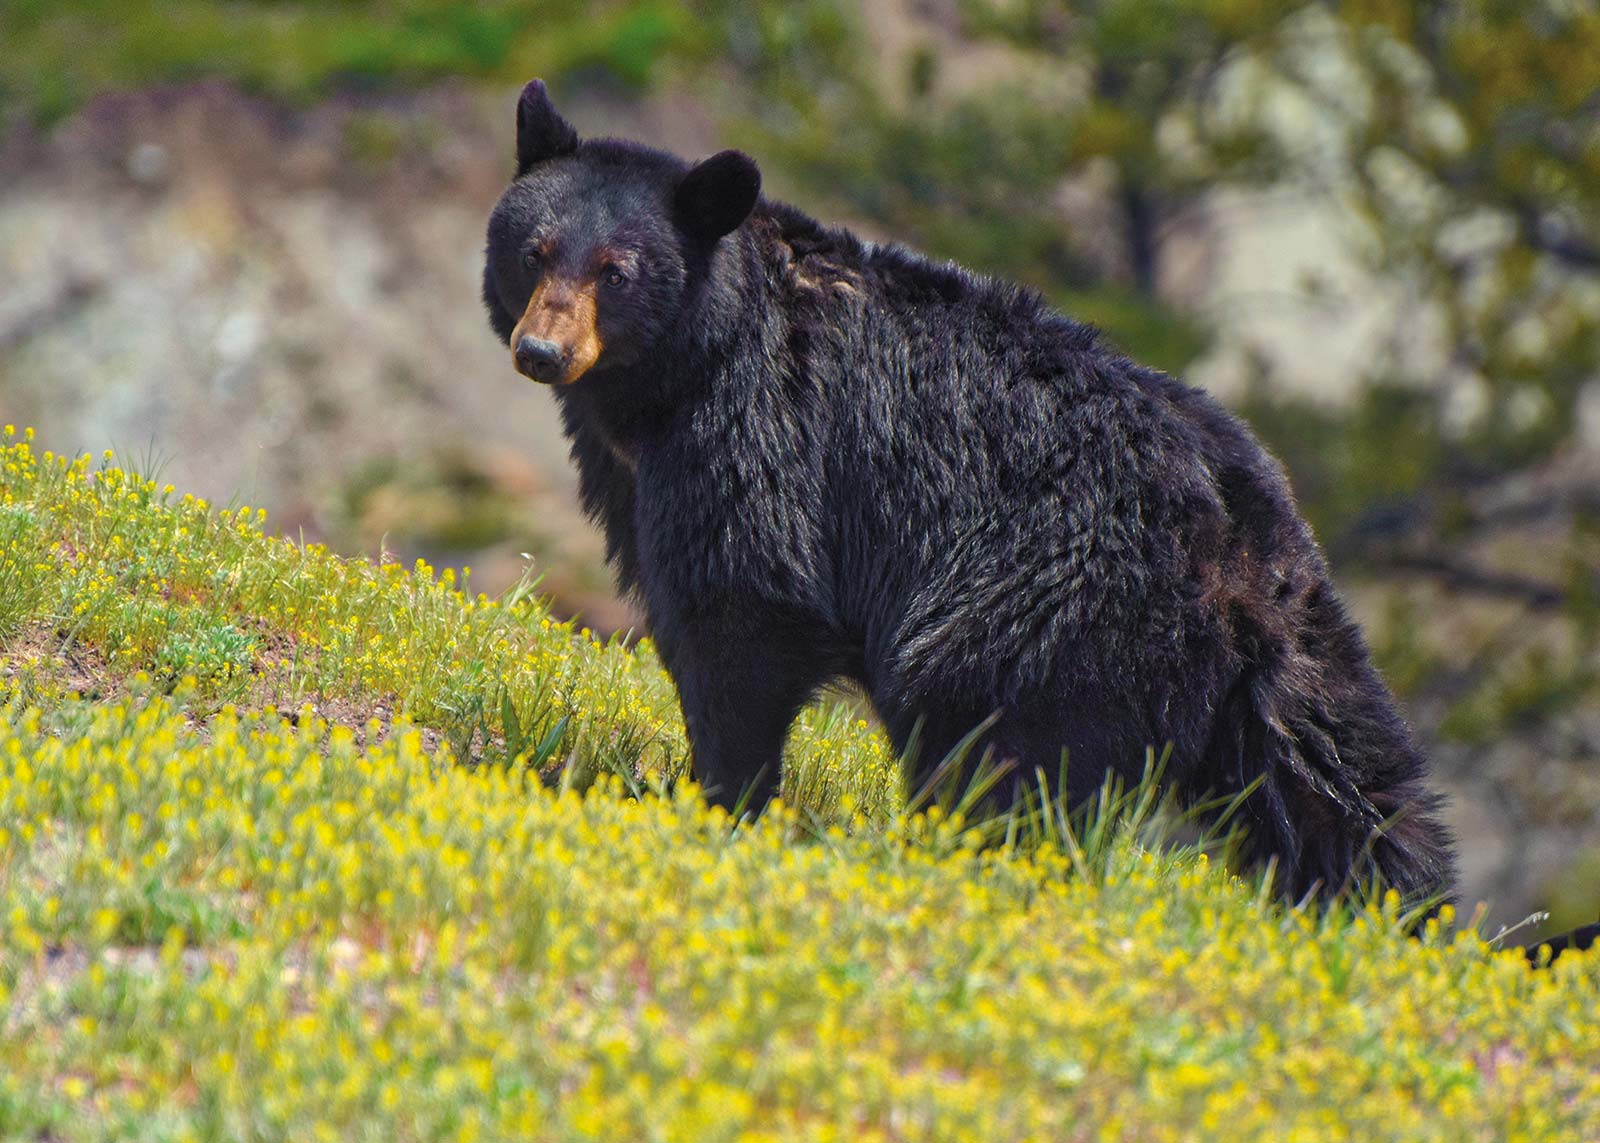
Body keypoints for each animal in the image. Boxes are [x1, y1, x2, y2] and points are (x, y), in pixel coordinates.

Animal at [480, 80, 1459, 902]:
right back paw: (1393, 906)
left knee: (998, 750)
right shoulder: (634, 468)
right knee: (1336, 773)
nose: (542, 352)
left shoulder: (756, 435)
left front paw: (715, 798)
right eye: (532, 251)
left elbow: (742, 611)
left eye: (617, 271)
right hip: (1276, 662)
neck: (680, 369)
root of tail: (1254, 543)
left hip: (1049, 610)